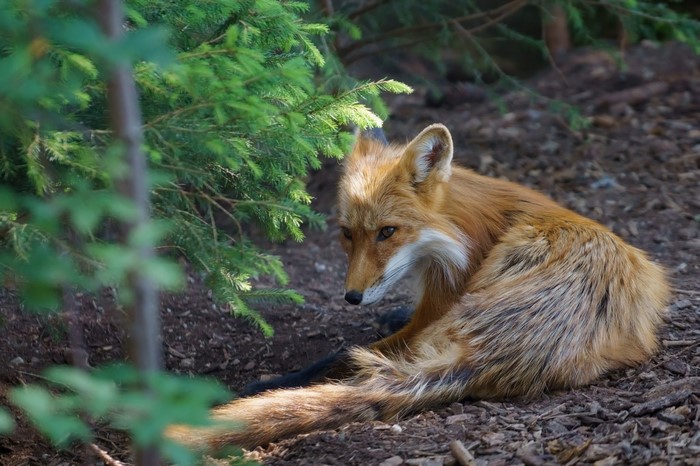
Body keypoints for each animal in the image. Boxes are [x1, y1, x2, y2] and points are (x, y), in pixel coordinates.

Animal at [166, 123, 670, 451]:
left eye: (387, 232)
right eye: (347, 234)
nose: (351, 297)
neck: (470, 233)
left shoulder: (440, 301)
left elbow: (336, 355)